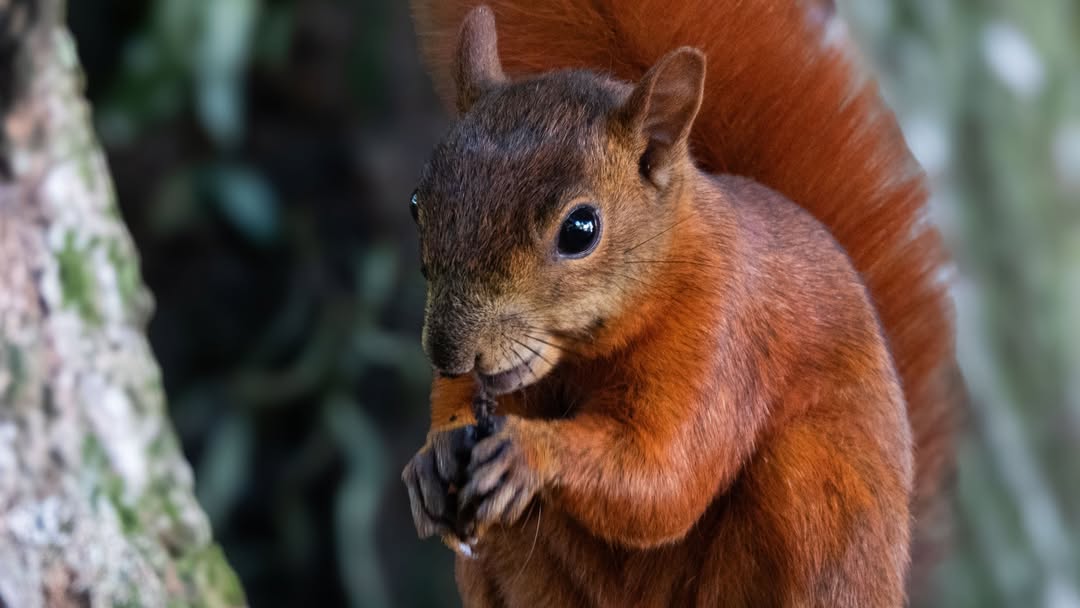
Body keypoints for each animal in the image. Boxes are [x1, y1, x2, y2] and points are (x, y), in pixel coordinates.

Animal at [400, 1, 962, 606]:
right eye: (416, 203)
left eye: (580, 229)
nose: (450, 352)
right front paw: (433, 457)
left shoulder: (722, 338)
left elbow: (665, 473)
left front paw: (529, 451)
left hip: (815, 497)